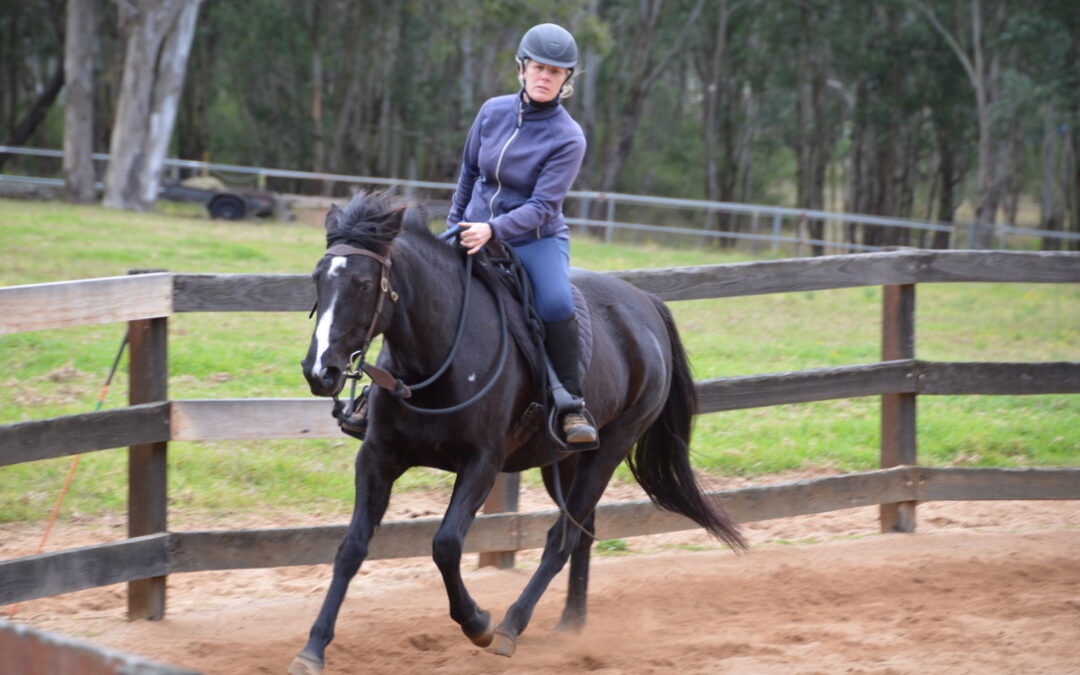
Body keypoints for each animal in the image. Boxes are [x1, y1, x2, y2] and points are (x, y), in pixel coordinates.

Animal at [289, 192, 743, 669]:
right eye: (318, 278)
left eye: (362, 283)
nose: (320, 371)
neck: (441, 356)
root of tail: (647, 304)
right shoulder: (378, 456)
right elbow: (352, 548)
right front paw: (313, 648)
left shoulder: (482, 464)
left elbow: (446, 545)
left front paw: (478, 624)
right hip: (565, 461)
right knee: (581, 533)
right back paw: (570, 625)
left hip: (608, 450)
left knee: (561, 538)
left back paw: (511, 626)